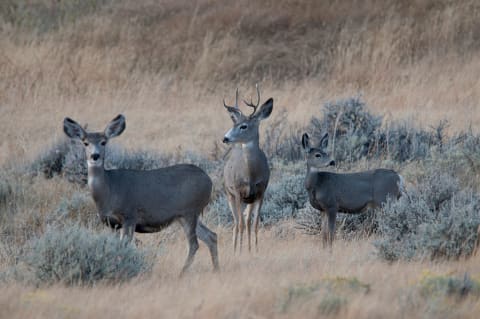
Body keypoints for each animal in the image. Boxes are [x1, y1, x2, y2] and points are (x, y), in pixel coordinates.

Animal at [63, 115, 219, 276]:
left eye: (103, 142)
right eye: (85, 143)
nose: (95, 156)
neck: (109, 190)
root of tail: (208, 180)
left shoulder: (129, 216)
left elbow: (124, 246)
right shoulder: (112, 224)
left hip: (190, 211)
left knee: (194, 244)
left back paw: (181, 274)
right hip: (186, 216)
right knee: (211, 236)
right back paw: (216, 270)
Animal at [222, 84, 274, 252]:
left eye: (243, 126)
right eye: (233, 124)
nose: (225, 138)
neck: (251, 175)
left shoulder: (260, 192)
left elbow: (255, 223)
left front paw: (254, 250)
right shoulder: (238, 192)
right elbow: (241, 225)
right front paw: (238, 251)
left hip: (248, 199)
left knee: (246, 221)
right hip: (229, 194)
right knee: (236, 223)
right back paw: (234, 249)